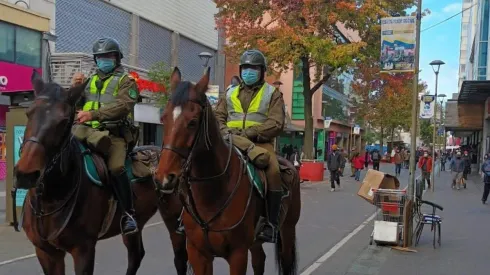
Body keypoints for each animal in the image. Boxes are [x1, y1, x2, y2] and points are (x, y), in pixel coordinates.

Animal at [12, 71, 188, 275]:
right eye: (29, 113)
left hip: (173, 218)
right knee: (136, 255)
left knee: (180, 258)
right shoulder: (46, 253)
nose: (26, 174)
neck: (51, 199)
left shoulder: (84, 250)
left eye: (64, 121)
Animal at [155, 67, 300, 275]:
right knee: (259, 260)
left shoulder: (238, 254)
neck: (213, 193)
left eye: (192, 122)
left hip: (288, 230)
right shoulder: (198, 254)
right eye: (163, 118)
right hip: (256, 242)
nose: (164, 178)